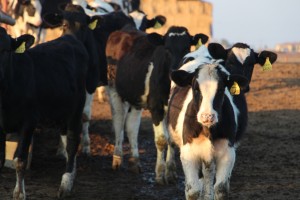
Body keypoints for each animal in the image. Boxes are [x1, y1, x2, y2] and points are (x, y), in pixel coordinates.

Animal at [0, 3, 98, 198]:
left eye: (6, 50)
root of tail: (70, 38)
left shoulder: (29, 121)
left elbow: (20, 161)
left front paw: (20, 194)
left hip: (76, 110)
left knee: (72, 142)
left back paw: (66, 184)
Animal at [105, 25, 209, 183]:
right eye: (167, 48)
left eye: (187, 47)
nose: (176, 69)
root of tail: (123, 30)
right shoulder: (156, 107)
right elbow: (161, 140)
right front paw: (160, 174)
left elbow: (171, 140)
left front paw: (170, 172)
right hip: (114, 90)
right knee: (118, 123)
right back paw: (117, 159)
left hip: (135, 98)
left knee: (131, 127)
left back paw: (135, 162)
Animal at [169, 61, 248, 200]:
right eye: (195, 88)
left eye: (221, 89)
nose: (207, 116)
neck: (208, 130)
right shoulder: (188, 152)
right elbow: (193, 191)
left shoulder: (228, 152)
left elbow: (221, 189)